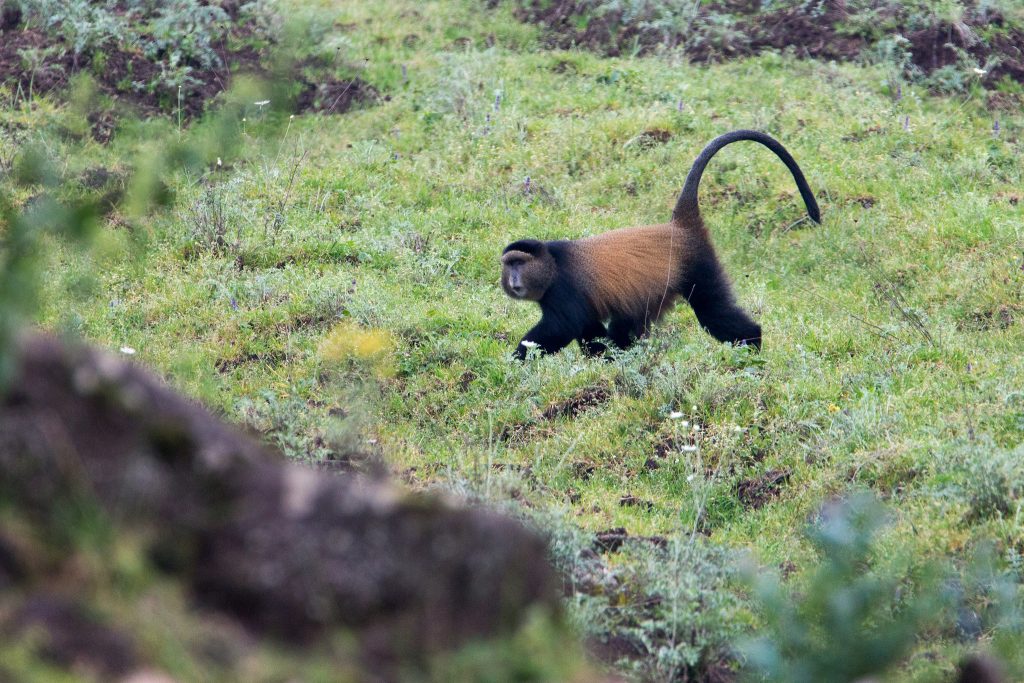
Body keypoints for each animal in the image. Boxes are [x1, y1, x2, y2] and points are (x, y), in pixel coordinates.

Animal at [500, 129, 820, 360]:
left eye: (519, 263)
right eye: (509, 264)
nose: (513, 279)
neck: (551, 264)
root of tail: (679, 227)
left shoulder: (564, 292)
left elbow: (560, 329)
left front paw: (515, 361)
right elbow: (593, 334)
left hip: (699, 267)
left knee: (714, 312)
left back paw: (752, 347)